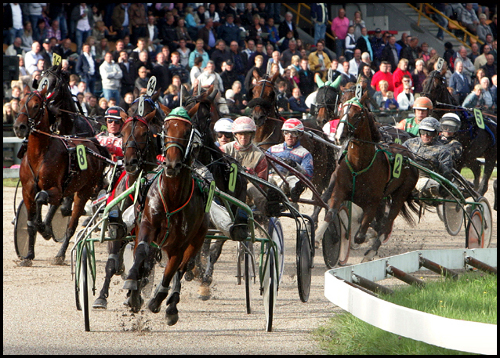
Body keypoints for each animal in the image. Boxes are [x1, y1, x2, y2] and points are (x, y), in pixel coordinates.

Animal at [13, 86, 109, 266]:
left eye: (36, 105)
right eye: (20, 103)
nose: (19, 127)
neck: (40, 155)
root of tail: (93, 144)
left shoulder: (56, 189)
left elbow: (41, 198)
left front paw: (44, 228)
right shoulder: (27, 191)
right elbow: (30, 222)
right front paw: (28, 255)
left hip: (84, 190)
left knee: (72, 223)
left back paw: (60, 254)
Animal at [124, 105, 210, 326]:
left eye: (187, 132)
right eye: (166, 129)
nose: (172, 164)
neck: (172, 198)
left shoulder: (179, 243)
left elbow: (172, 270)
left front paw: (158, 300)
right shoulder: (146, 225)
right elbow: (141, 252)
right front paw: (133, 287)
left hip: (197, 238)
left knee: (182, 267)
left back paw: (171, 305)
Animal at [326, 95, 420, 262]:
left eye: (357, 115)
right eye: (341, 111)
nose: (339, 136)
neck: (359, 165)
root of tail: (409, 155)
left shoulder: (372, 204)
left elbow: (360, 236)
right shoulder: (339, 191)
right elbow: (330, 216)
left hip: (400, 194)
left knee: (387, 224)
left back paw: (371, 252)